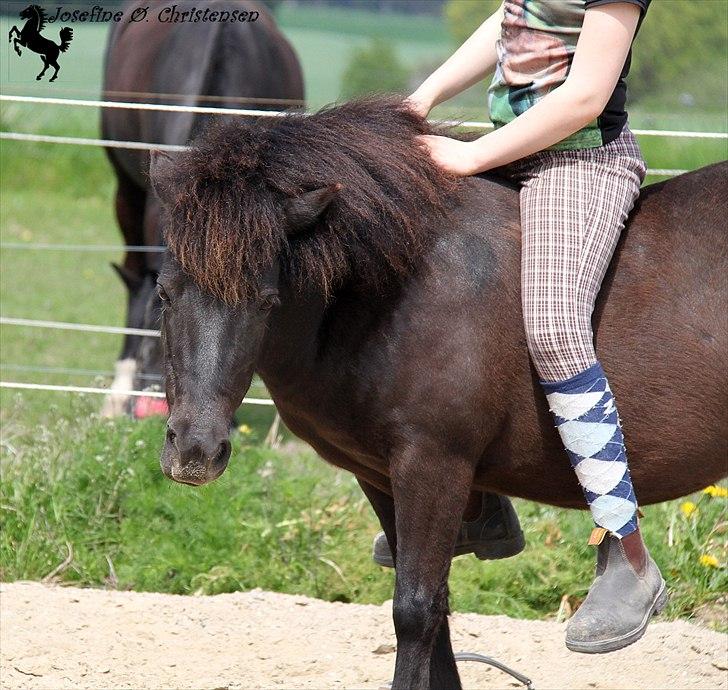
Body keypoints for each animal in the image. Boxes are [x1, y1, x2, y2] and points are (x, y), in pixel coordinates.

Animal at [151, 98, 724, 688]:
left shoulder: (433, 466)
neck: (399, 286)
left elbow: (415, 609)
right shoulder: (380, 474)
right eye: (164, 292)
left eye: (267, 301)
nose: (195, 451)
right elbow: (435, 612)